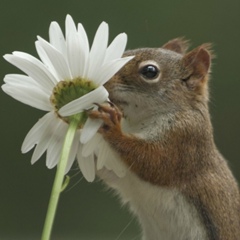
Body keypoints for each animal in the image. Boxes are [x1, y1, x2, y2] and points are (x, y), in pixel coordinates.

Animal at [88, 38, 240, 239]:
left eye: (150, 71)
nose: (101, 79)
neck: (138, 123)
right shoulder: (124, 175)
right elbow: (106, 170)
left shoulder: (184, 140)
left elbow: (154, 162)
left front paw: (113, 127)